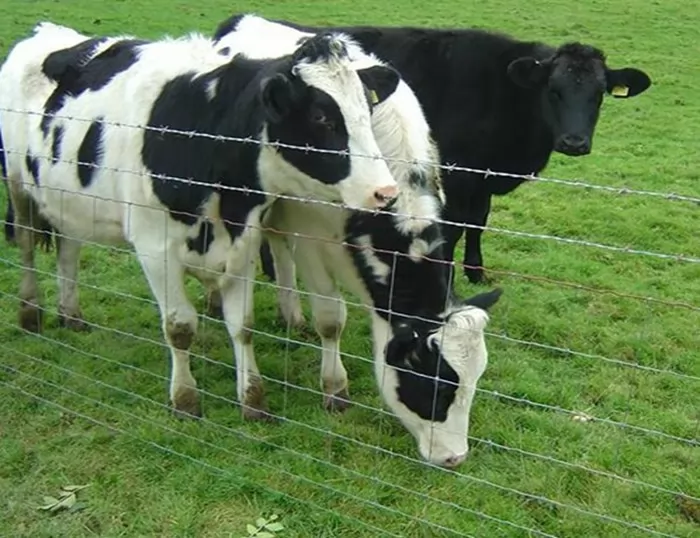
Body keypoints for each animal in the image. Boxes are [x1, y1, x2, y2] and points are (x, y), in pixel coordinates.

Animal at [0, 22, 404, 414]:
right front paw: (185, 399)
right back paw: (31, 313)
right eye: (321, 118)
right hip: (18, 184)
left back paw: (71, 314)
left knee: (68, 250)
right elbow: (179, 327)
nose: (385, 191)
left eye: (367, 113)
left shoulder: (243, 240)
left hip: (66, 198)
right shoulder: (154, 248)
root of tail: (47, 32)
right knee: (26, 245)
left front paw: (252, 398)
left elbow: (243, 325)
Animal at [212, 14, 504, 466]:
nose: (455, 458)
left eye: (476, 380)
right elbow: (331, 319)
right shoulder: (310, 232)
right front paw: (335, 389)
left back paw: (290, 314)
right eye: (436, 383)